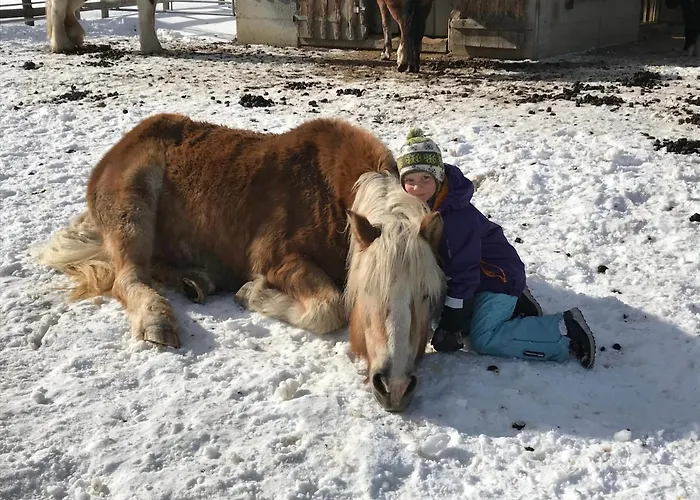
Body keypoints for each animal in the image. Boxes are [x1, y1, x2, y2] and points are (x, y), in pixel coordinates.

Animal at [35, 114, 445, 412]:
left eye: (427, 297)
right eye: (368, 292)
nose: (395, 387)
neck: (330, 198)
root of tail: (119, 147)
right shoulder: (278, 260)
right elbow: (330, 307)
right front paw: (252, 294)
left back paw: (196, 280)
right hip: (133, 208)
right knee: (129, 276)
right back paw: (158, 318)